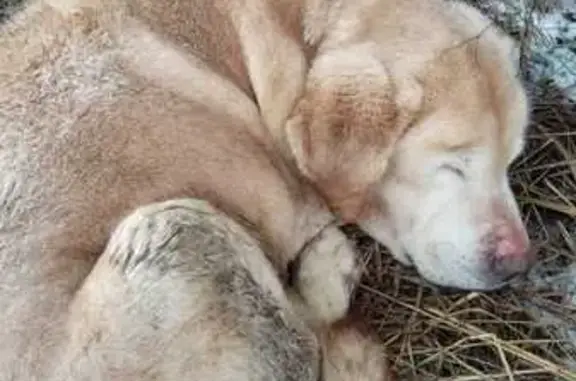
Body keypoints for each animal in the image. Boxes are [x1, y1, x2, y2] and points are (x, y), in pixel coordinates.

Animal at [1, 0, 532, 376]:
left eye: (510, 162)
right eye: (453, 167)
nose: (517, 263)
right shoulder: (295, 207)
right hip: (181, 229)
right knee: (313, 345)